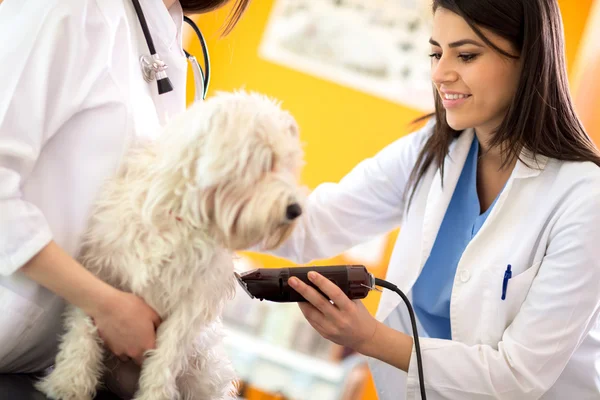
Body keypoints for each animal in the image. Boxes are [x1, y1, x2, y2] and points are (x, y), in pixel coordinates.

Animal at [34, 91, 304, 400]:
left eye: (290, 165)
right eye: (266, 162)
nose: (296, 210)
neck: (183, 215)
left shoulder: (192, 303)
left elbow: (167, 355)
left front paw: (155, 394)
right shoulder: (101, 268)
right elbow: (85, 322)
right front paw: (70, 381)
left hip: (204, 369)